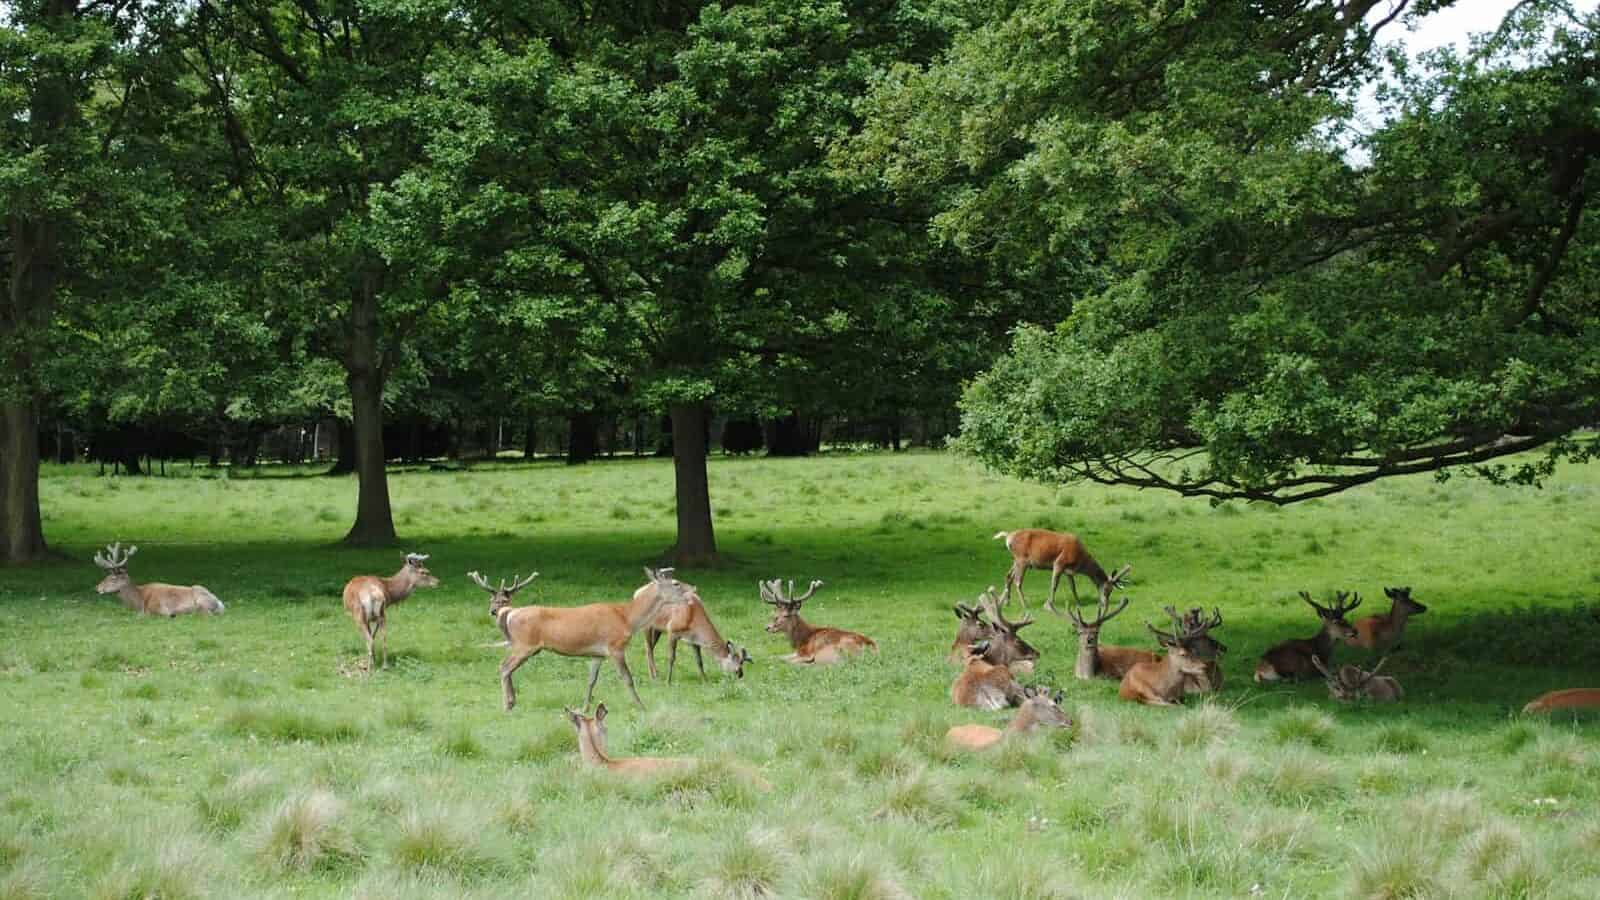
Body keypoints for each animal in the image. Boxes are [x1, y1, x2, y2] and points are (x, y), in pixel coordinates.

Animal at [92, 542, 225, 617]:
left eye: (112, 578)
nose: (97, 588)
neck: (139, 602)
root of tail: (219, 603)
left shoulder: (159, 609)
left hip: (201, 602)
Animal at [481, 567, 692, 711]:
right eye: (676, 583)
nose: (693, 589)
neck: (627, 618)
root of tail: (510, 613)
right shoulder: (615, 646)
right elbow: (627, 678)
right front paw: (641, 706)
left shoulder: (597, 654)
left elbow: (591, 680)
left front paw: (584, 708)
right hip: (524, 645)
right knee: (504, 667)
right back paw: (507, 704)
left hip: (522, 646)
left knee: (506, 668)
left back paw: (512, 701)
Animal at [993, 529, 1130, 615]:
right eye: (1107, 589)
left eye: (1111, 591)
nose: (1104, 604)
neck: (1080, 561)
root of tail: (1008, 537)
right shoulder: (1059, 563)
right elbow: (1054, 585)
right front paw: (1049, 604)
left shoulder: (1068, 571)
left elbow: (1073, 587)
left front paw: (1079, 603)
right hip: (1022, 559)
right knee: (1017, 581)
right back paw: (1025, 605)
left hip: (1016, 560)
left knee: (1008, 576)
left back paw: (1005, 602)